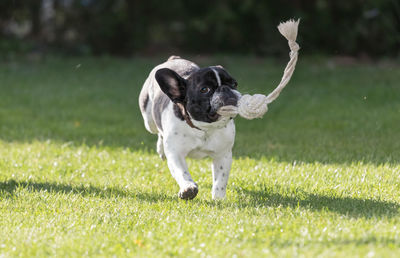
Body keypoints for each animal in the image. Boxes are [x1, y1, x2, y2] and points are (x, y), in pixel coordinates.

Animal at [139, 56, 241, 200]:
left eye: (234, 84)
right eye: (204, 89)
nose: (225, 89)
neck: (204, 128)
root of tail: (174, 58)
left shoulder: (223, 155)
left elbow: (220, 179)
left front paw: (218, 199)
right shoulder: (176, 154)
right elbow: (182, 172)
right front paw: (188, 188)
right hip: (149, 121)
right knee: (159, 132)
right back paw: (161, 149)